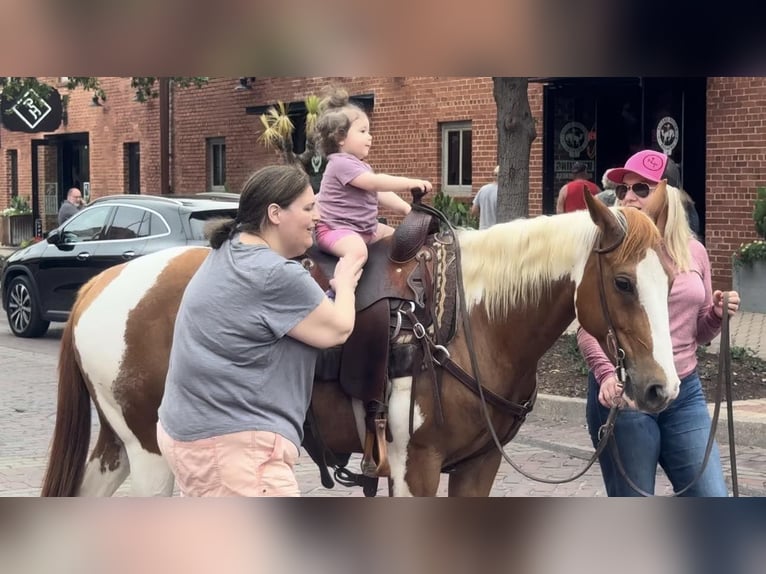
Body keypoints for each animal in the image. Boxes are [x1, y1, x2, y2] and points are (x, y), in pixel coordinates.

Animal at [43, 187, 680, 498]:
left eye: (672, 280)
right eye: (623, 283)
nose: (660, 388)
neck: (466, 323)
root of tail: (99, 284)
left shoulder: (479, 465)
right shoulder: (415, 465)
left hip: (120, 446)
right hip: (154, 454)